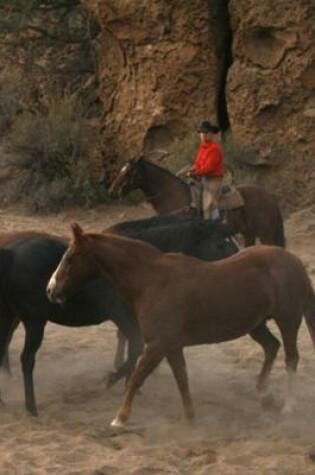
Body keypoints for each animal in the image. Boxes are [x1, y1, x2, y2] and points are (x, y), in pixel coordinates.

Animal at [0, 219, 237, 416]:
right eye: (220, 244)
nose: (238, 261)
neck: (141, 268)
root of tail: (10, 253)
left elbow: (134, 350)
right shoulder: (125, 318)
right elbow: (135, 350)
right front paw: (113, 379)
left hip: (11, 318)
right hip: (34, 322)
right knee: (26, 359)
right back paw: (31, 406)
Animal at [47, 223, 315, 428]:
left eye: (70, 258)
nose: (51, 290)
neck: (151, 281)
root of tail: (294, 262)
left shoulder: (157, 344)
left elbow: (136, 378)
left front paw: (119, 419)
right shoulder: (172, 346)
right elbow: (182, 379)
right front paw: (189, 417)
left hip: (288, 320)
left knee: (291, 358)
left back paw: (288, 406)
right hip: (256, 325)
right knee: (272, 347)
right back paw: (262, 393)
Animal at [108, 159, 286, 249]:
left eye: (129, 171)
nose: (112, 191)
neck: (174, 196)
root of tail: (270, 197)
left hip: (265, 234)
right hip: (248, 234)